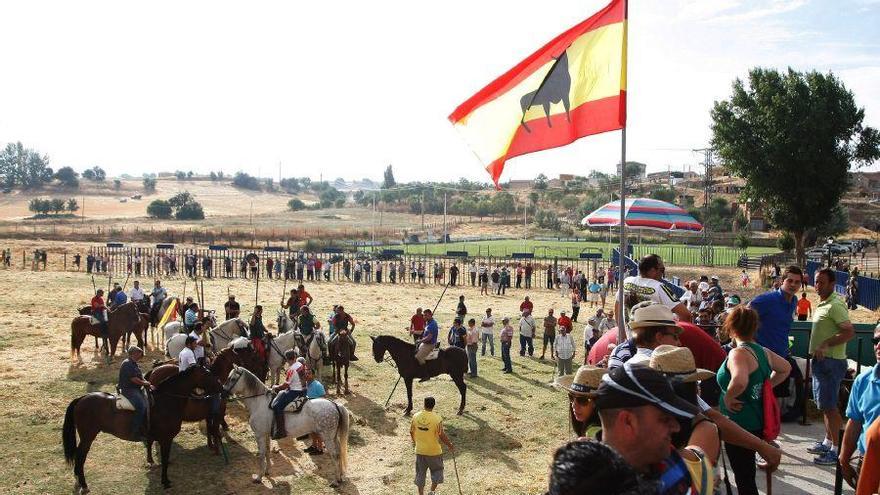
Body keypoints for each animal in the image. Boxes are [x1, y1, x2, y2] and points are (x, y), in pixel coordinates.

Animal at [62, 364, 220, 492]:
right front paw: (165, 482)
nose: (221, 388)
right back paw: (83, 485)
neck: (166, 401)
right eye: (207, 374)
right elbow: (165, 460)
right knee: (80, 458)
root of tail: (81, 399)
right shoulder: (165, 439)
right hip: (87, 437)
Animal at [220, 366, 350, 486]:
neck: (259, 402)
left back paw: (335, 481)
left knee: (334, 455)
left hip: (327, 438)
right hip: (333, 437)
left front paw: (259, 477)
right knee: (339, 453)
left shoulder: (259, 435)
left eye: (232, 379)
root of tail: (334, 404)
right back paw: (340, 477)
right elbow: (267, 452)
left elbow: (261, 455)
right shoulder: (266, 435)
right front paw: (267, 472)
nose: (222, 394)